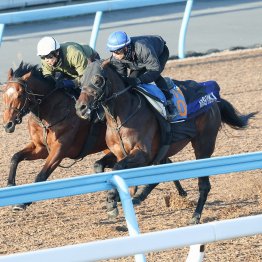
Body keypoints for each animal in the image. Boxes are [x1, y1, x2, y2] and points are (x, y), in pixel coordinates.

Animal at [74, 60, 256, 224]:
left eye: (98, 80)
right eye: (80, 82)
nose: (80, 108)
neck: (120, 119)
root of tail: (214, 98)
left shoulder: (143, 154)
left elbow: (118, 168)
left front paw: (113, 199)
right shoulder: (119, 153)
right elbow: (99, 166)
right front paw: (117, 197)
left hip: (203, 145)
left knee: (204, 185)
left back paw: (195, 216)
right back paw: (140, 196)